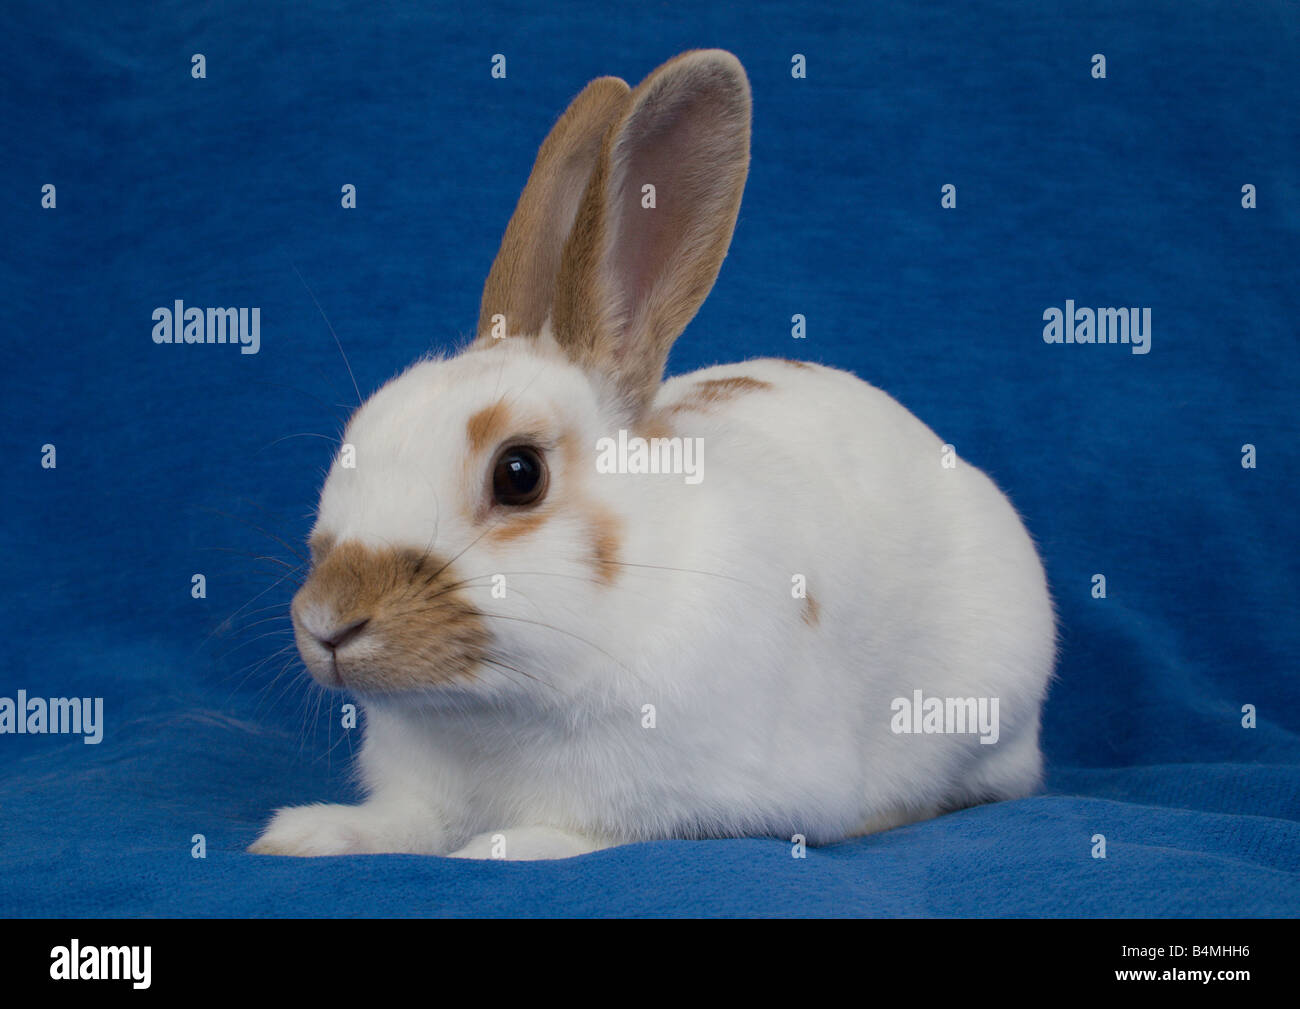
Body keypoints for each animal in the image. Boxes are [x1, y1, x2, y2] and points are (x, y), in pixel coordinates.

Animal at [249, 49, 1055, 860]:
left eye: (519, 474)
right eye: (357, 435)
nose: (327, 622)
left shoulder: (681, 802)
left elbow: (575, 835)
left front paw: (497, 849)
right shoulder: (424, 798)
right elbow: (401, 824)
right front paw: (305, 834)